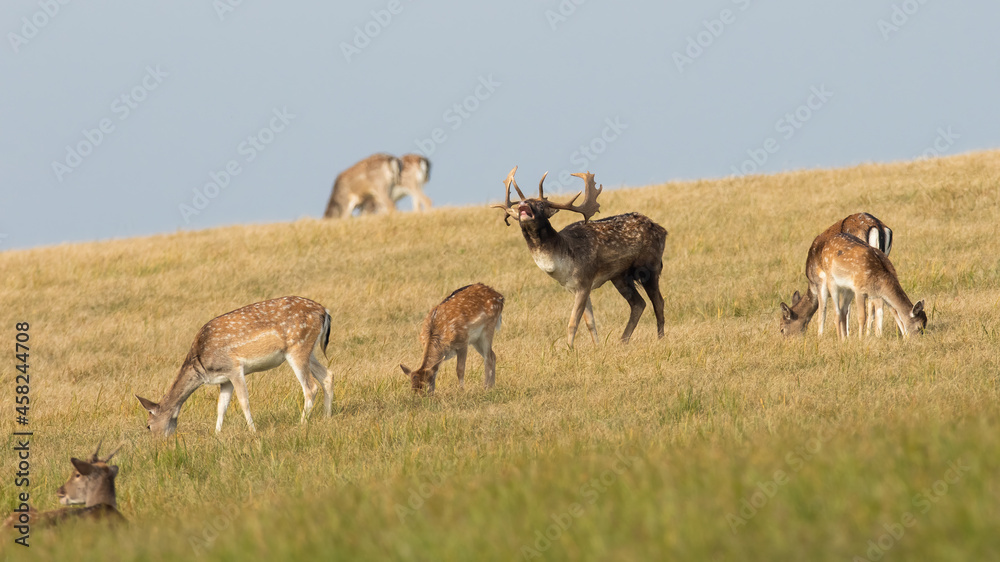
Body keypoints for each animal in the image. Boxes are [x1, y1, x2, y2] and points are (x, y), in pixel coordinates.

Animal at [135, 296, 333, 436]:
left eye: (148, 425)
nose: (158, 442)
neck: (202, 365)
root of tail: (324, 311)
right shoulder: (225, 379)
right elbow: (221, 407)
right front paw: (216, 434)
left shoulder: (234, 368)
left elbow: (244, 401)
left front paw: (253, 431)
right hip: (309, 350)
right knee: (328, 375)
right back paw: (327, 417)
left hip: (297, 347)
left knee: (311, 387)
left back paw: (302, 423)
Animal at [493, 167, 667, 348]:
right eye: (523, 201)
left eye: (541, 204)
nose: (523, 204)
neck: (562, 262)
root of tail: (663, 230)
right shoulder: (574, 287)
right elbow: (590, 322)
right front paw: (597, 347)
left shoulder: (584, 280)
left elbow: (573, 322)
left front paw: (569, 349)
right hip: (619, 276)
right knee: (639, 304)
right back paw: (622, 341)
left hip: (650, 265)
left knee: (658, 302)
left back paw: (660, 339)